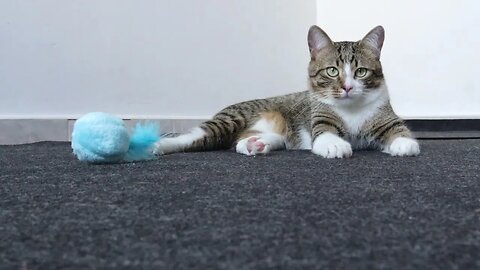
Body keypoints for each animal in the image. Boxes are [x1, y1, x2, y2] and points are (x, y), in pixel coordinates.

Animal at [154, 25, 420, 158]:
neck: (351, 109)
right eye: (332, 71)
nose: (347, 87)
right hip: (231, 118)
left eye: (361, 72)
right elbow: (324, 134)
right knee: (195, 136)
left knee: (242, 142)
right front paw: (335, 145)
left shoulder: (384, 116)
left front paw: (403, 144)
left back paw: (255, 144)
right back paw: (157, 145)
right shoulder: (320, 117)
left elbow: (398, 130)